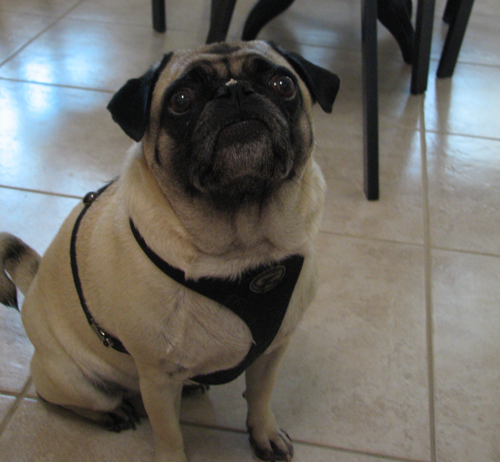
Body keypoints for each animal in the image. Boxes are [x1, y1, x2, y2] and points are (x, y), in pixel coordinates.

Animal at [0, 41, 340, 460]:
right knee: (65, 398)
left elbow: (260, 396)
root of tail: (34, 285)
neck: (243, 249)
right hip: (74, 379)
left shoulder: (272, 350)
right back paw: (110, 413)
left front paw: (264, 433)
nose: (234, 91)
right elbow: (169, 433)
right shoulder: (157, 378)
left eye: (283, 84)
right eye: (181, 100)